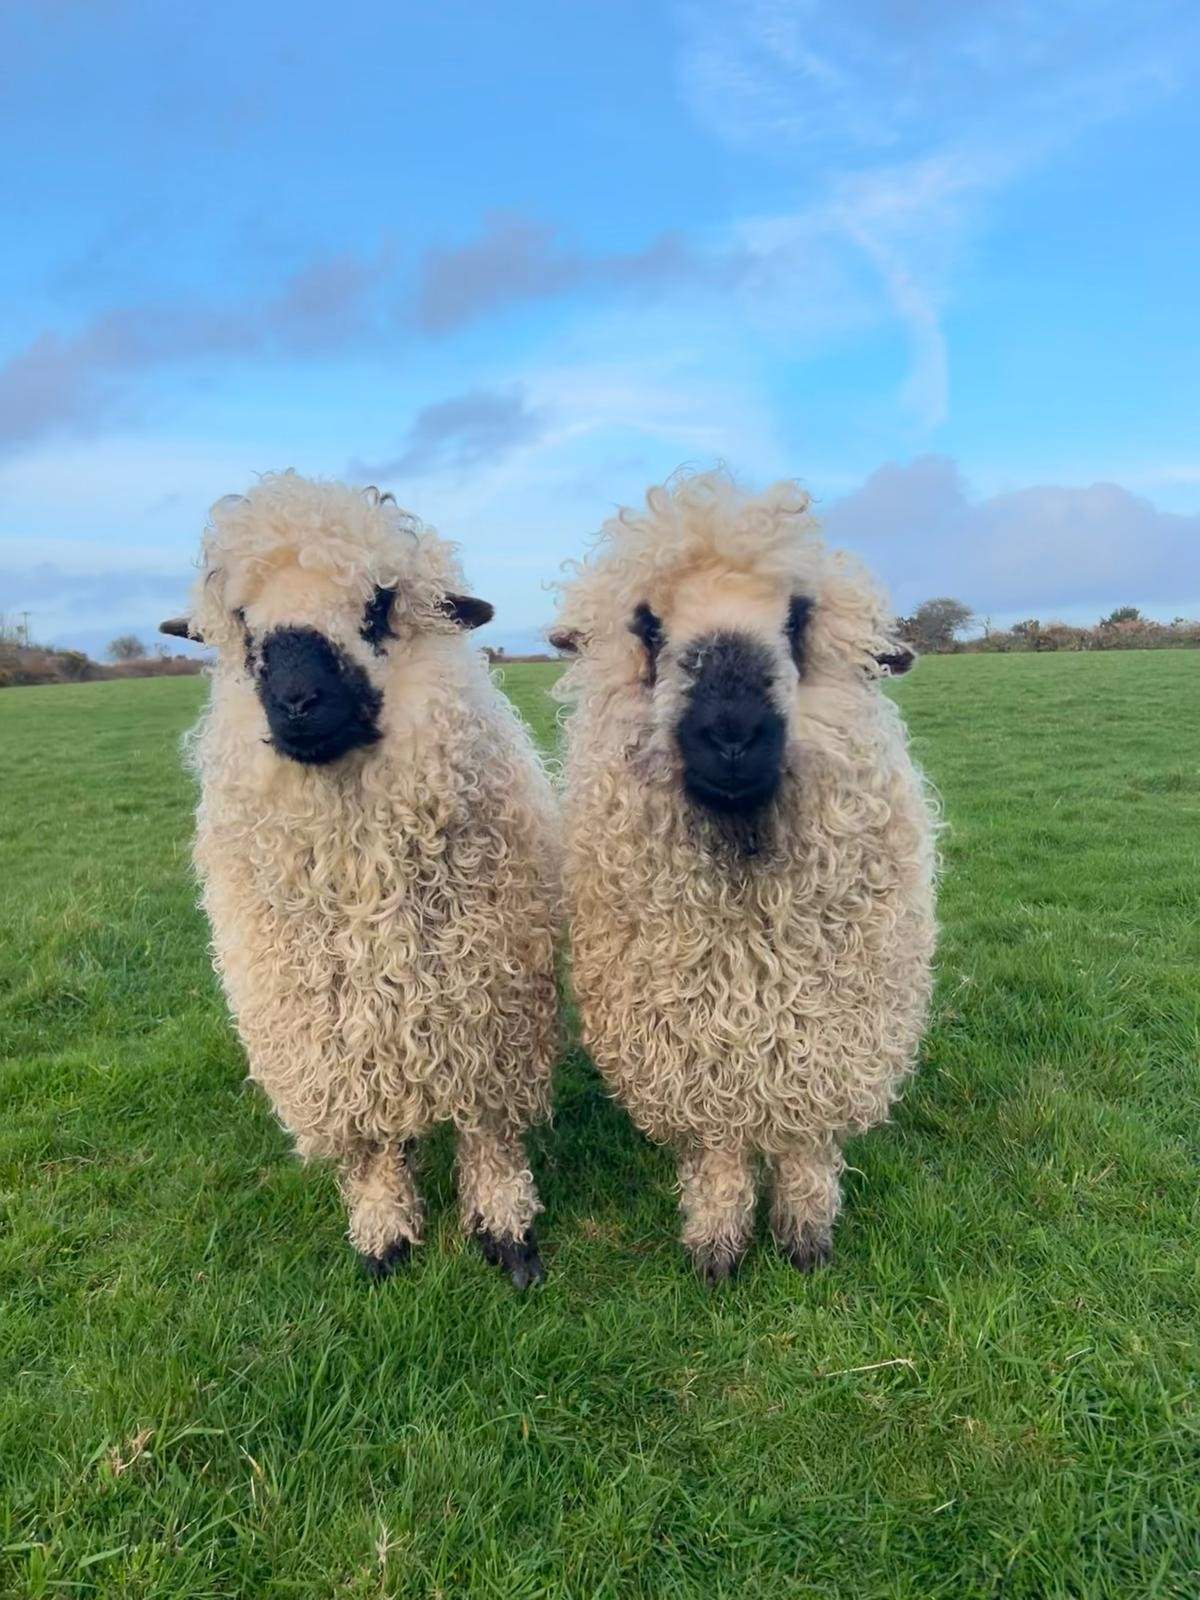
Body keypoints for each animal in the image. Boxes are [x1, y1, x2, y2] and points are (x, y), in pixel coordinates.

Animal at [161, 471, 558, 1288]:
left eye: (378, 605)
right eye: (242, 622)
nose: (298, 703)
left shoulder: (491, 1009)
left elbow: (489, 1135)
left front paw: (507, 1232)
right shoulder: (327, 1037)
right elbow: (370, 1145)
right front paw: (383, 1233)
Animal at [549, 471, 937, 1283]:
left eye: (797, 619)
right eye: (648, 627)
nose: (732, 735)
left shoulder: (833, 1036)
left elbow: (806, 1147)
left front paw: (805, 1240)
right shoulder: (689, 1044)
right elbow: (720, 1154)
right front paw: (717, 1248)